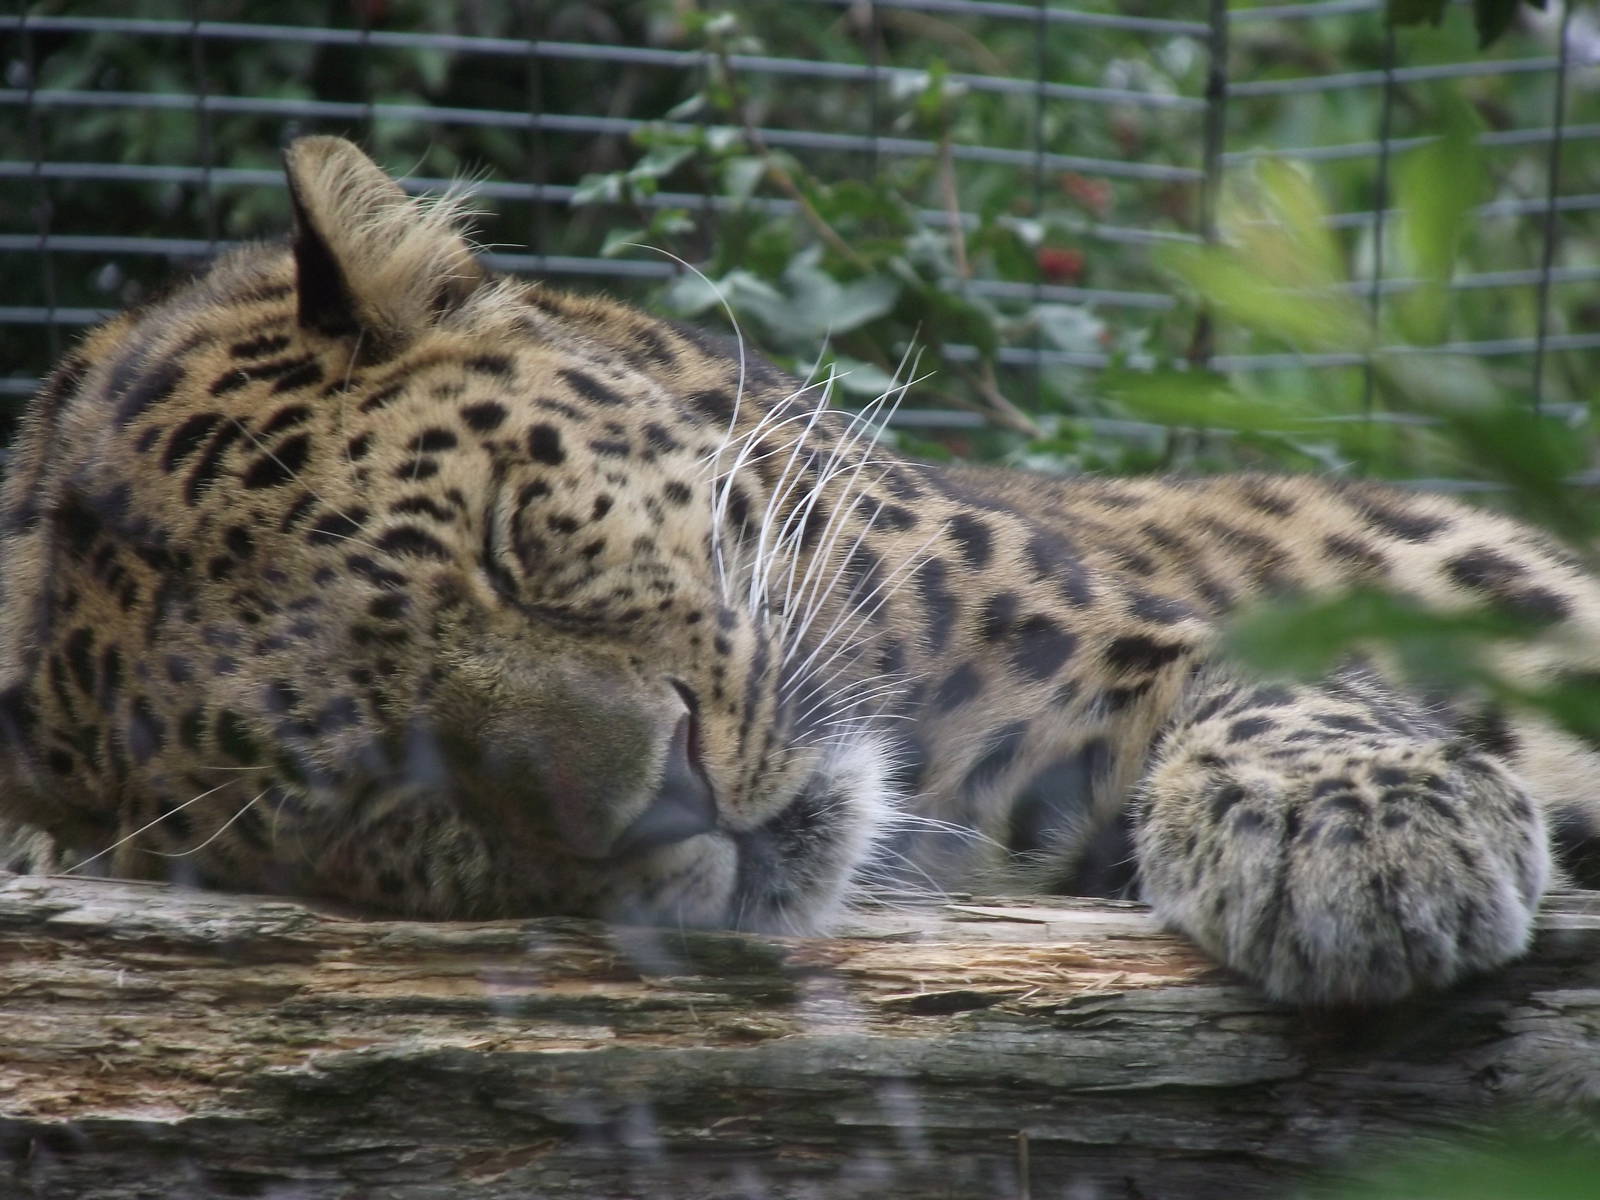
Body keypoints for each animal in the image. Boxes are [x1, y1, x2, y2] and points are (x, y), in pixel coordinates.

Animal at [2, 136, 1597, 1005]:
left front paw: (1364, 835)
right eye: (369, 787)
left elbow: (1279, 677)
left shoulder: (1106, 644)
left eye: (511, 540)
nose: (669, 795)